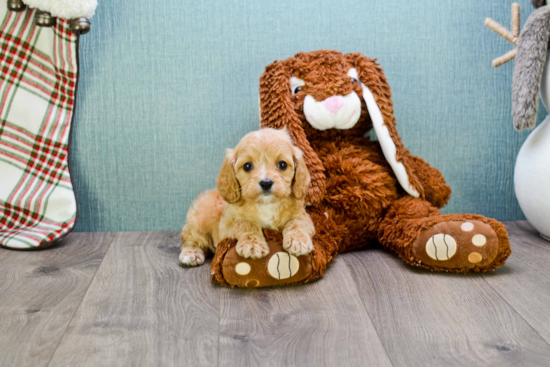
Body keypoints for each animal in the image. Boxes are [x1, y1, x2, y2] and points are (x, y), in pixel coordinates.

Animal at [180, 129, 314, 268]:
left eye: (282, 164)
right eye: (247, 166)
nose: (266, 183)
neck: (266, 204)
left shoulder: (305, 217)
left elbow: (296, 222)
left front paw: (299, 241)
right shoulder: (226, 225)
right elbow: (246, 223)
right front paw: (252, 245)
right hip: (202, 215)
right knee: (191, 238)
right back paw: (191, 253)